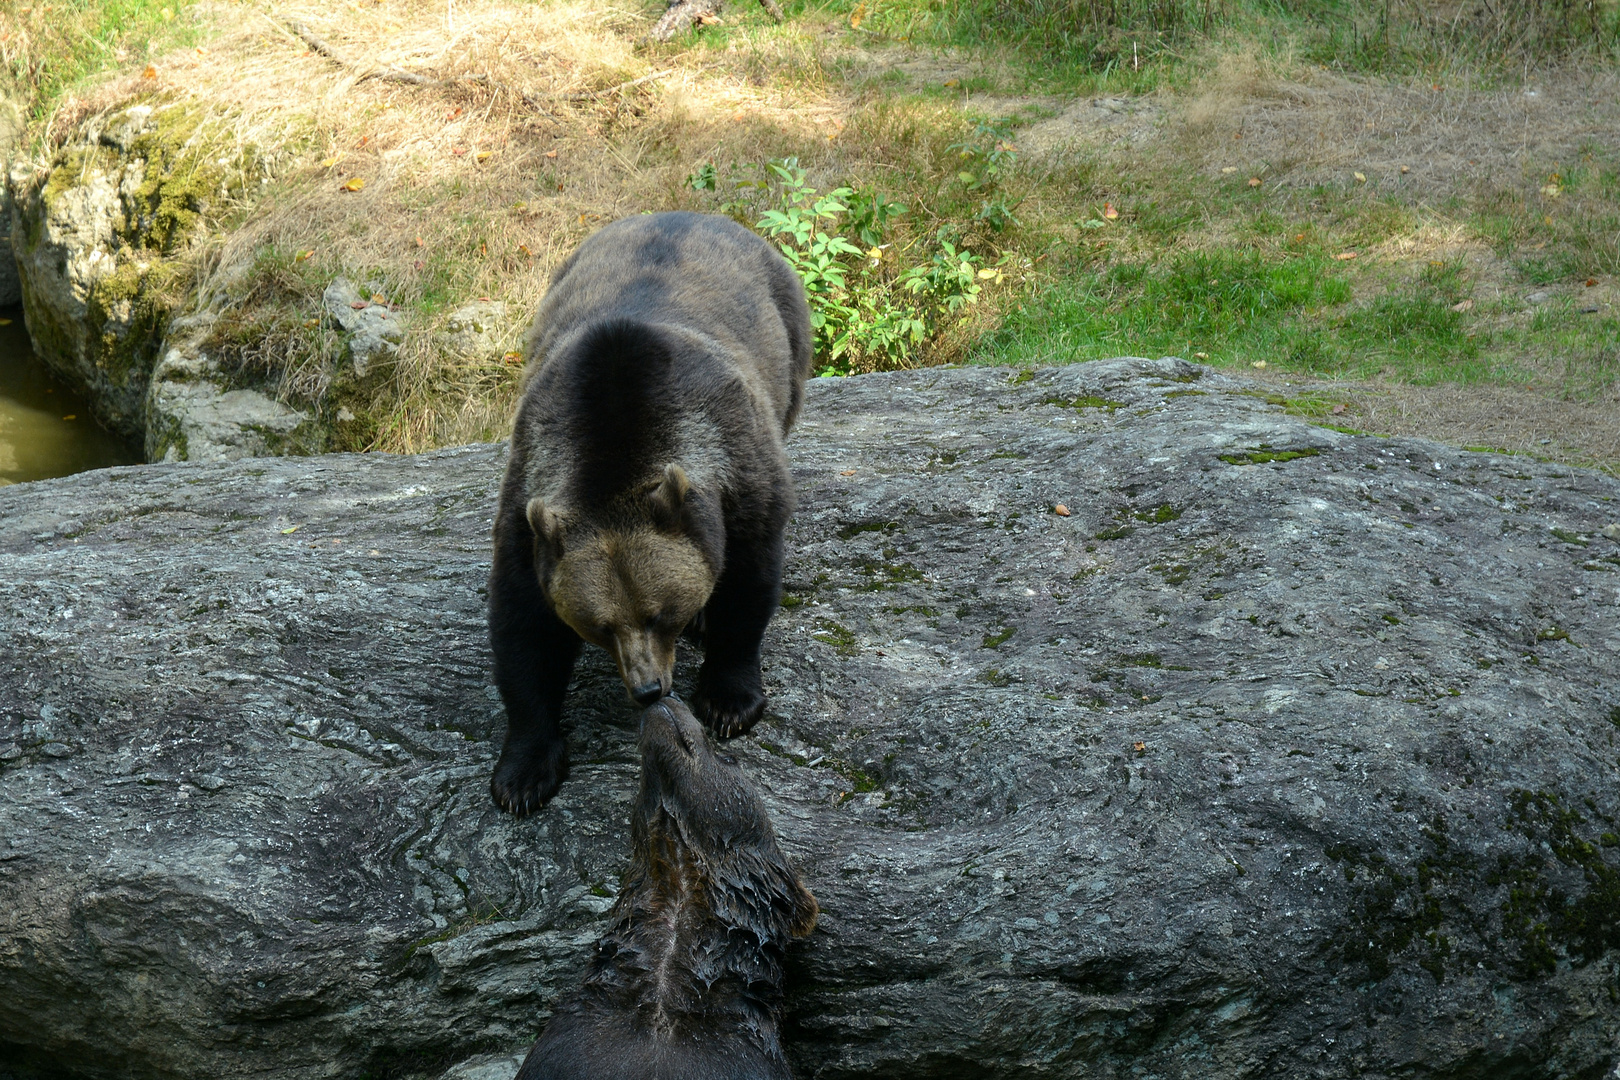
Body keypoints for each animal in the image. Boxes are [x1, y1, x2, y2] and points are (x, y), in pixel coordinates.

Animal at [479, 213, 810, 809]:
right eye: (599, 626)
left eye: (662, 613)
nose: (648, 688)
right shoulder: (529, 499)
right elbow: (524, 628)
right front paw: (523, 772)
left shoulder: (738, 466)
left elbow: (749, 580)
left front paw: (729, 700)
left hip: (787, 330)